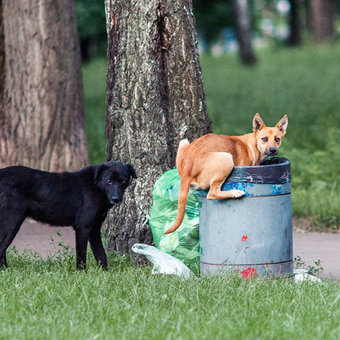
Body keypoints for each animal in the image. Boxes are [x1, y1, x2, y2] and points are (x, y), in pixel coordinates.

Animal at [0, 161, 135, 270]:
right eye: (109, 181)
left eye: (123, 181)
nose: (116, 199)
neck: (96, 186)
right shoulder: (83, 226)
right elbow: (81, 254)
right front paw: (82, 273)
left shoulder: (95, 228)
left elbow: (100, 253)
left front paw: (104, 272)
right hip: (11, 223)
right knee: (2, 248)